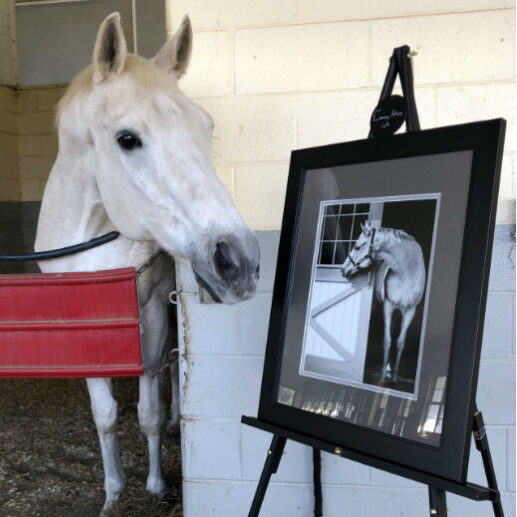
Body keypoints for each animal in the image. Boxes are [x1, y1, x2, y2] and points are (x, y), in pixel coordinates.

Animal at [33, 11, 258, 512]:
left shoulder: (152, 311)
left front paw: (154, 486)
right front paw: (114, 491)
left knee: (172, 368)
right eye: (127, 138)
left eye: (206, 127)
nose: (240, 261)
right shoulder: (86, 325)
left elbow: (149, 409)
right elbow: (104, 414)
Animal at [342, 221, 424, 382]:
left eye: (357, 246)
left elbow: (400, 342)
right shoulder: (388, 306)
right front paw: (381, 378)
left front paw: (395, 378)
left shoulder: (410, 311)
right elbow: (387, 340)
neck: (407, 273)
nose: (343, 270)